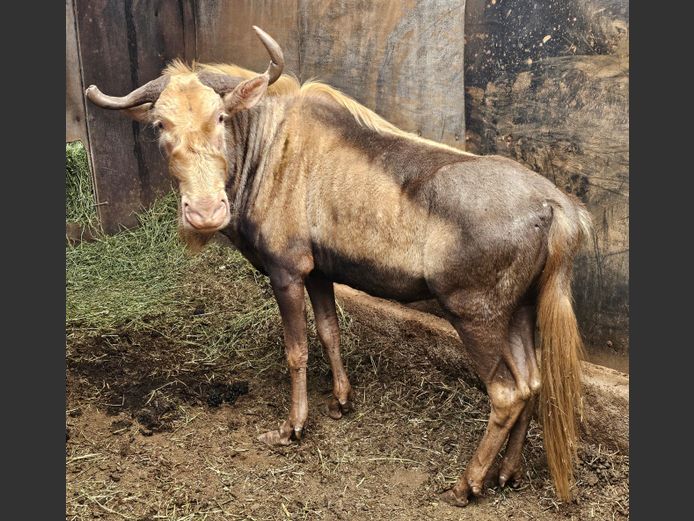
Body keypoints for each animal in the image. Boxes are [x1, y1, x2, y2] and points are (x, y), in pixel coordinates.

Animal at [85, 27, 591, 506]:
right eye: (158, 124)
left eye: (221, 117)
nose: (205, 213)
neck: (264, 150)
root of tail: (557, 208)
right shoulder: (320, 272)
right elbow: (330, 331)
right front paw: (341, 402)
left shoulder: (286, 270)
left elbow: (296, 350)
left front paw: (292, 427)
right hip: (519, 309)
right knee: (531, 382)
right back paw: (507, 474)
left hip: (475, 313)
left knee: (506, 392)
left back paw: (466, 485)